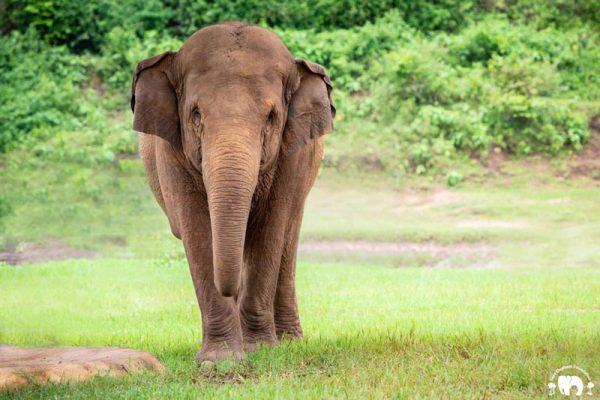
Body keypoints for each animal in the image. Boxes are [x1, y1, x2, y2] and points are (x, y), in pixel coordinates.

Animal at [131, 22, 336, 366]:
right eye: (196, 114)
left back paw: (289, 341)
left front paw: (260, 349)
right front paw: (220, 361)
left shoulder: (292, 154)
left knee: (287, 237)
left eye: (271, 117)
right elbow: (197, 231)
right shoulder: (170, 149)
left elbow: (270, 228)